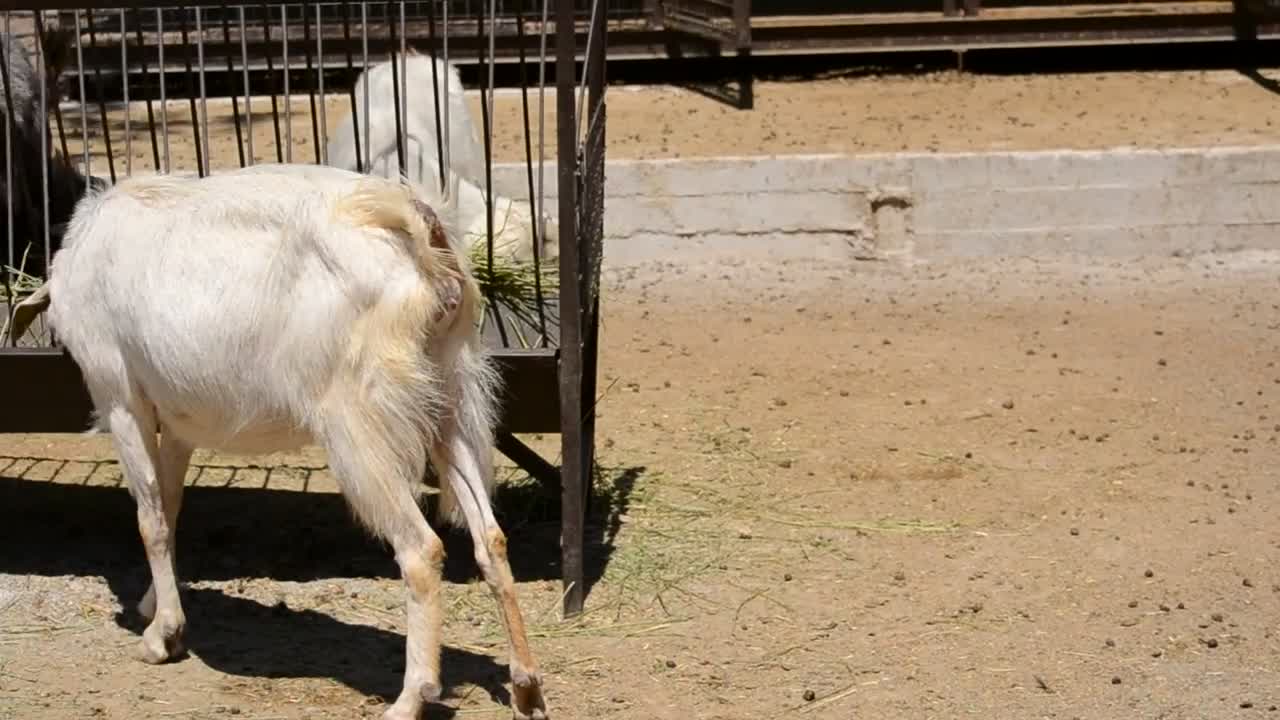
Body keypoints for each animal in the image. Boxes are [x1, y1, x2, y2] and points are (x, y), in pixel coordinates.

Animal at [48, 162, 545, 717]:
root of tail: (417, 227)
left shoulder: (118, 394)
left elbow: (149, 518)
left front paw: (163, 636)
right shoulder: (178, 420)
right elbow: (171, 507)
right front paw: (156, 603)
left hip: (359, 422)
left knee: (421, 550)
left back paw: (411, 697)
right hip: (451, 400)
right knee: (490, 539)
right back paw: (526, 687)